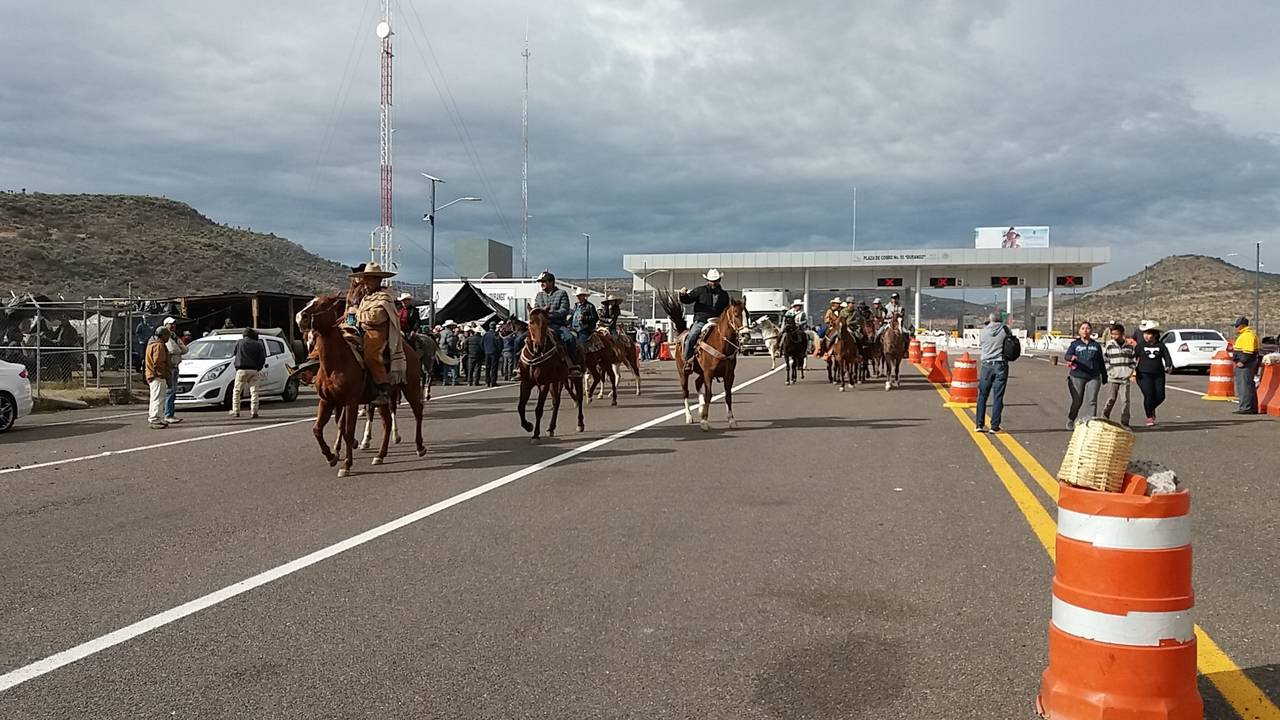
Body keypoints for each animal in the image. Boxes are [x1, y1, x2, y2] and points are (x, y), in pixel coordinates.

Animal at [514, 307, 586, 440]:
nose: (539, 346)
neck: (535, 355)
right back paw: (551, 428)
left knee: (579, 398)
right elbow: (520, 407)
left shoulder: (544, 384)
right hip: (556, 381)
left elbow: (539, 409)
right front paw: (528, 426)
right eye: (531, 321)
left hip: (576, 378)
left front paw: (536, 434)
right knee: (556, 402)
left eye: (546, 322)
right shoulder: (526, 383)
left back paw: (580, 424)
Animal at [655, 288, 747, 427]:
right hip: (683, 372)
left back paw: (701, 408)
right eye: (736, 314)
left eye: (747, 314)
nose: (746, 335)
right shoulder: (709, 373)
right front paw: (704, 421)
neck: (721, 344)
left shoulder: (729, 374)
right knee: (685, 392)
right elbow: (709, 394)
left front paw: (731, 420)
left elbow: (728, 395)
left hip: (701, 372)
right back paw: (689, 416)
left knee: (697, 383)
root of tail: (682, 333)